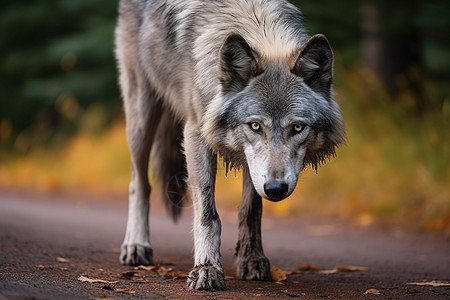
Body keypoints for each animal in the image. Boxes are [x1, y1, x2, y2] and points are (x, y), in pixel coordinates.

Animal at [115, 0, 344, 292]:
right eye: (255, 126)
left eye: (297, 128)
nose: (276, 189)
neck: (255, 22)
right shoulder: (196, 134)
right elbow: (207, 214)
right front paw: (206, 269)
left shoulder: (256, 168)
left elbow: (251, 209)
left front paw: (251, 259)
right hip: (141, 116)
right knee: (139, 184)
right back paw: (136, 245)